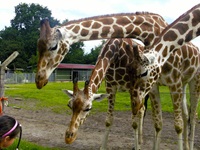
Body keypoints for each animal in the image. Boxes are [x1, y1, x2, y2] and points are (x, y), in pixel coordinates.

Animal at [128, 3, 200, 150]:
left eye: (143, 73)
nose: (134, 105)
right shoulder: (156, 86)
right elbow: (158, 123)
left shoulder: (173, 83)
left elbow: (177, 125)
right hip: (183, 84)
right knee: (186, 114)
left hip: (195, 81)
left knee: (193, 114)